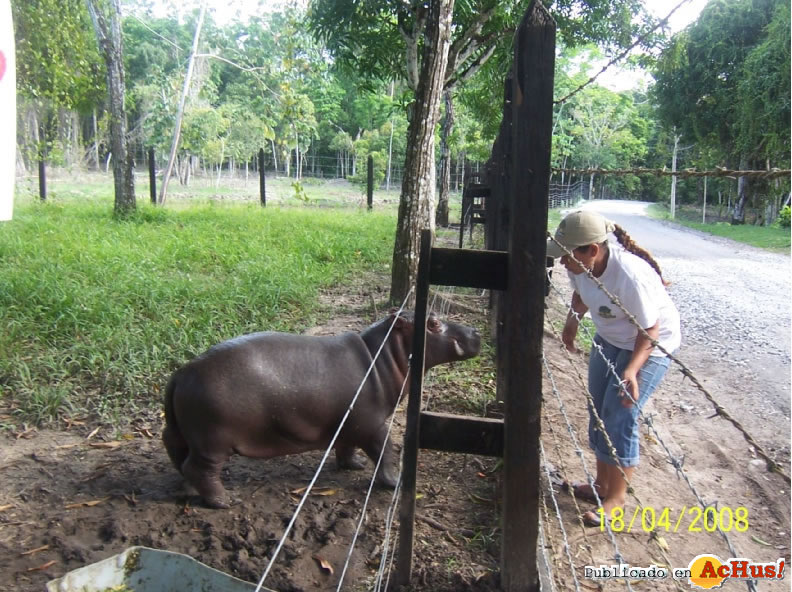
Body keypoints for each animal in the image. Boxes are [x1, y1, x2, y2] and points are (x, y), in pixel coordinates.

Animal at [164, 310, 480, 508]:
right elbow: (386, 450)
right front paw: (394, 483)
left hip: (184, 435)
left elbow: (347, 446)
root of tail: (181, 373)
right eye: (433, 323)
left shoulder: (350, 423)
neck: (383, 358)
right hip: (213, 442)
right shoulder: (372, 425)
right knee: (200, 469)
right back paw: (225, 502)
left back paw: (190, 490)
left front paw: (354, 465)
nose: (475, 330)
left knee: (179, 458)